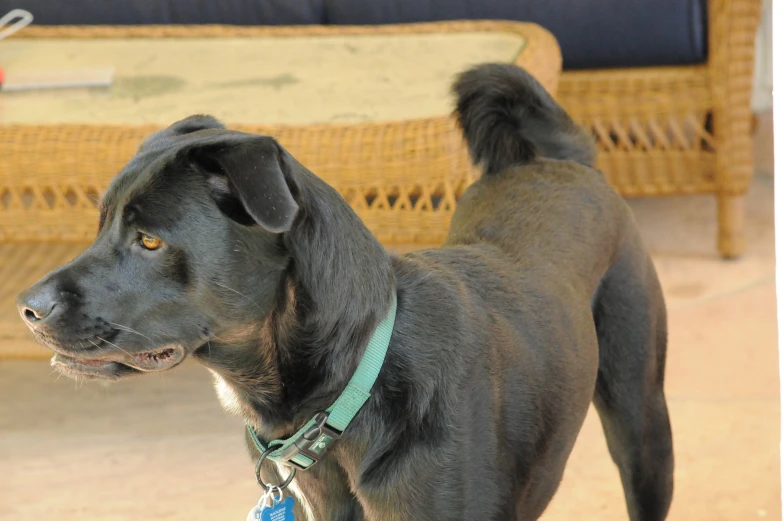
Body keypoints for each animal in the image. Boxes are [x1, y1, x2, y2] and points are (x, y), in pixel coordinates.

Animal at [18, 65, 672, 520]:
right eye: (100, 225)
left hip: (642, 425)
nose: (26, 308)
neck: (350, 392)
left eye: (150, 240)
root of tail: (566, 163)